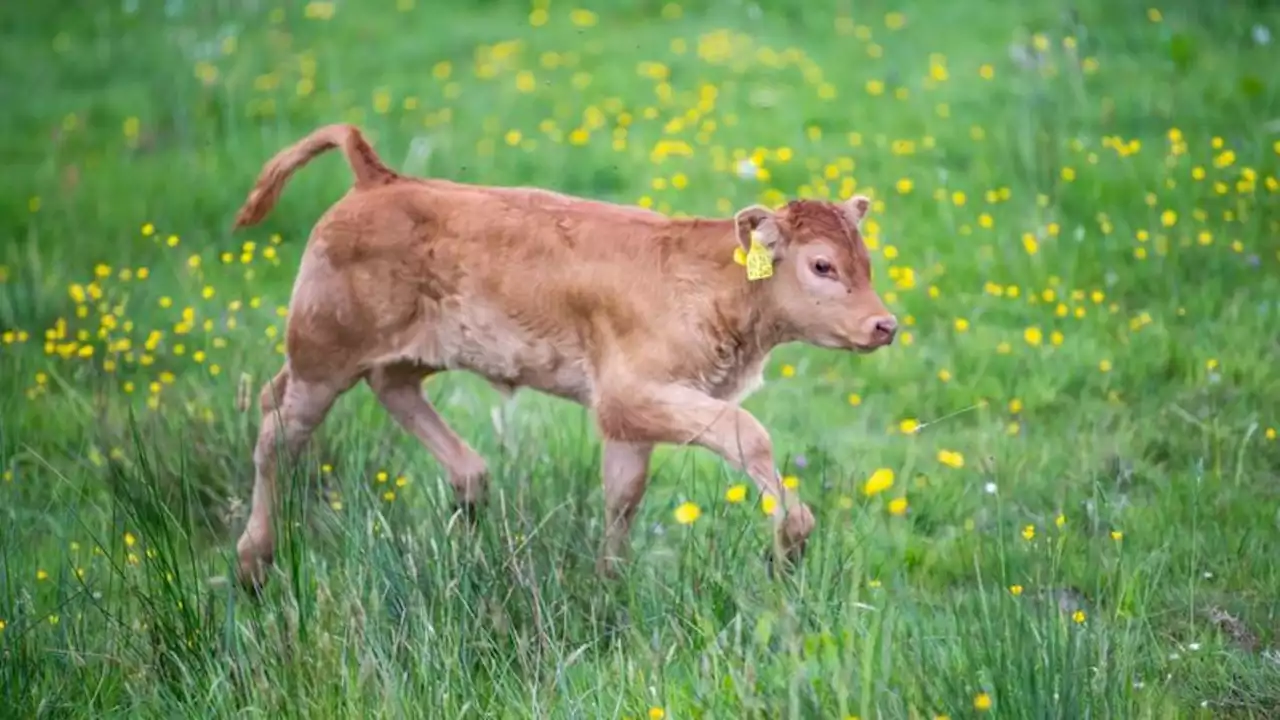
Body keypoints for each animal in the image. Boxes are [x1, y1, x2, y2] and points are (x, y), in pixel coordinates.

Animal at [232, 120, 901, 586]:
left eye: (866, 260)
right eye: (822, 265)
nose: (885, 325)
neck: (714, 281)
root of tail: (378, 178)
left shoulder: (631, 424)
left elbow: (623, 497)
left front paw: (609, 584)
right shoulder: (630, 398)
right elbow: (747, 431)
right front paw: (792, 536)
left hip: (400, 355)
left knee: (392, 392)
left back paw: (471, 490)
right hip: (321, 356)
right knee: (276, 427)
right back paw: (253, 561)